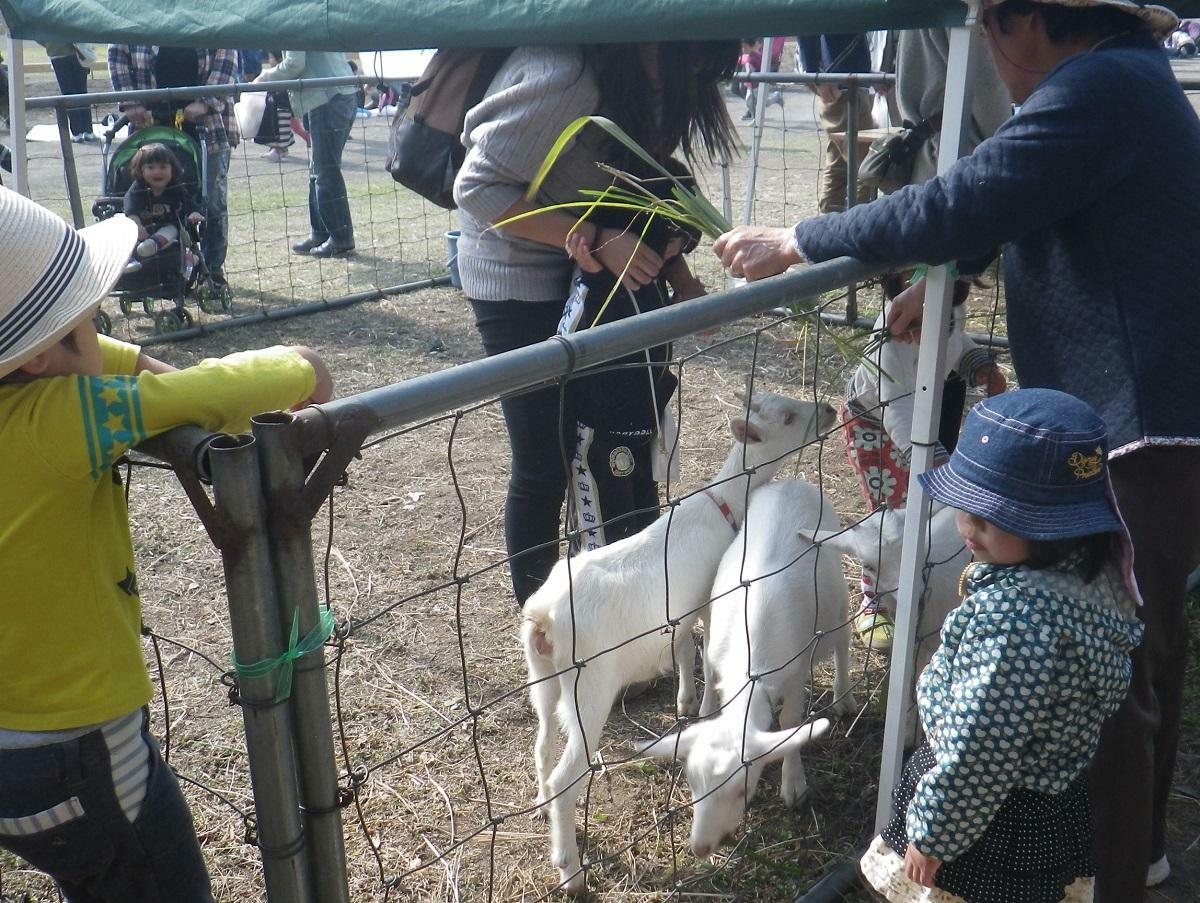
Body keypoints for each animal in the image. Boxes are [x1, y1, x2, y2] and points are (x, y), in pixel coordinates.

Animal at [648, 475, 854, 854]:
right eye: (692, 782)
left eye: (742, 788)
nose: (700, 848)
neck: (749, 669)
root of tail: (793, 481)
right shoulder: (716, 651)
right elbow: (708, 674)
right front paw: (705, 709)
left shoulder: (794, 672)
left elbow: (791, 723)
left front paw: (794, 785)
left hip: (838, 597)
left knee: (843, 642)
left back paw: (844, 697)